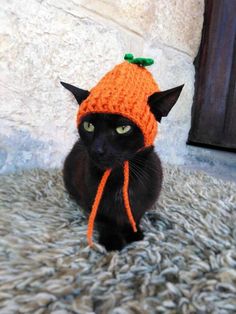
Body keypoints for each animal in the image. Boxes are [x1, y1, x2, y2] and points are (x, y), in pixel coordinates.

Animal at [60, 82, 183, 251]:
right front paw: (112, 240)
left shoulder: (145, 200)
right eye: (89, 126)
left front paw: (133, 233)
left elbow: (135, 214)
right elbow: (105, 219)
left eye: (123, 128)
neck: (119, 176)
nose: (97, 149)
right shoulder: (92, 200)